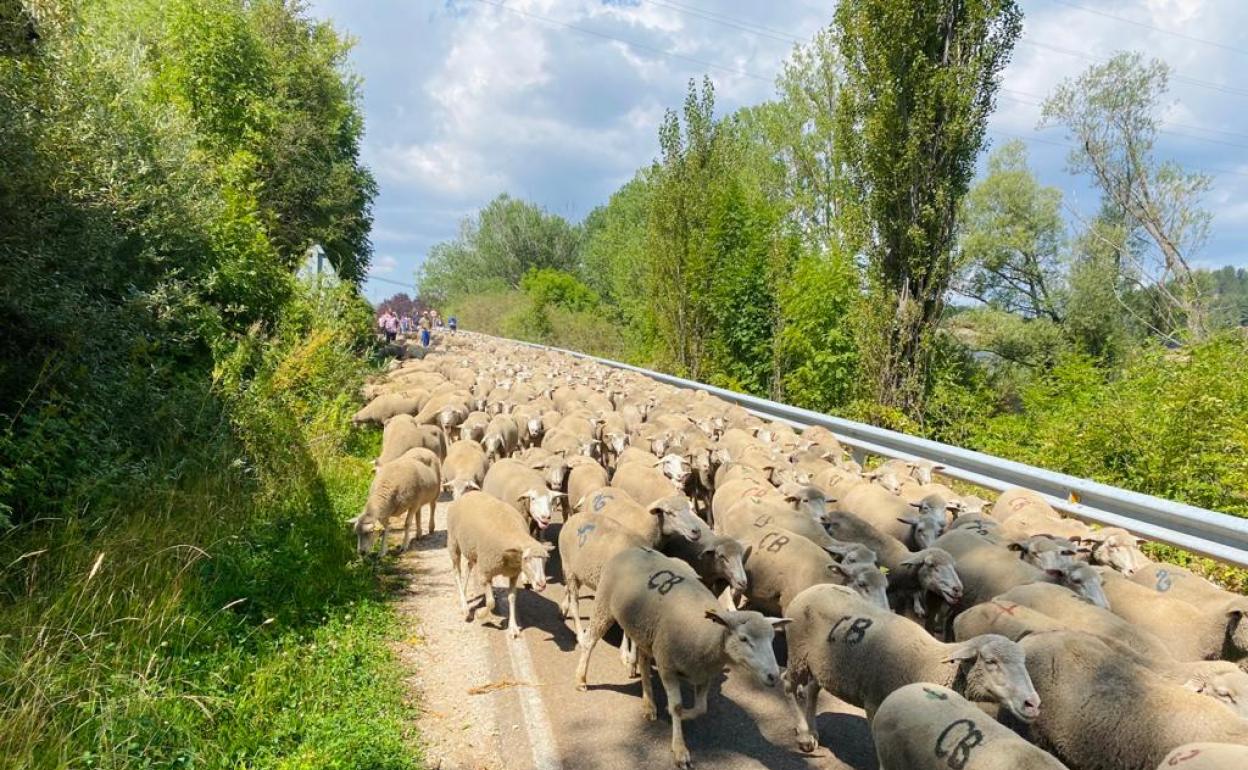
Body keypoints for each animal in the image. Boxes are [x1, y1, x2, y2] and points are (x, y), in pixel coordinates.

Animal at [571, 544, 783, 763]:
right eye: (743, 639)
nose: (774, 676)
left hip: (645, 631)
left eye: (772, 639)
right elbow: (677, 707)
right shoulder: (667, 667)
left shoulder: (703, 674)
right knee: (590, 643)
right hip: (604, 605)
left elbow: (701, 708)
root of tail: (635, 548)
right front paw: (680, 749)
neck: (708, 636)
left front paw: (682, 715)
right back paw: (581, 679)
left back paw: (649, 704)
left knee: (644, 664)